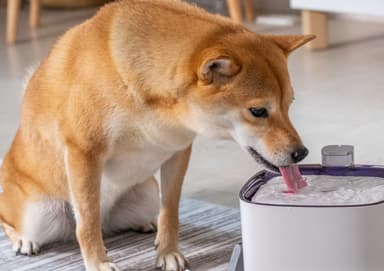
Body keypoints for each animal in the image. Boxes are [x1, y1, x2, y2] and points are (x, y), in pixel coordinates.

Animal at [0, 0, 314, 271]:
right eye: (258, 111)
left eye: (289, 104)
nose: (301, 152)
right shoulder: (84, 152)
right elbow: (86, 222)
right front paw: (97, 263)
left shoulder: (178, 151)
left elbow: (171, 210)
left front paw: (168, 252)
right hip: (38, 212)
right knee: (14, 220)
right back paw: (23, 240)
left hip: (146, 193)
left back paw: (145, 224)